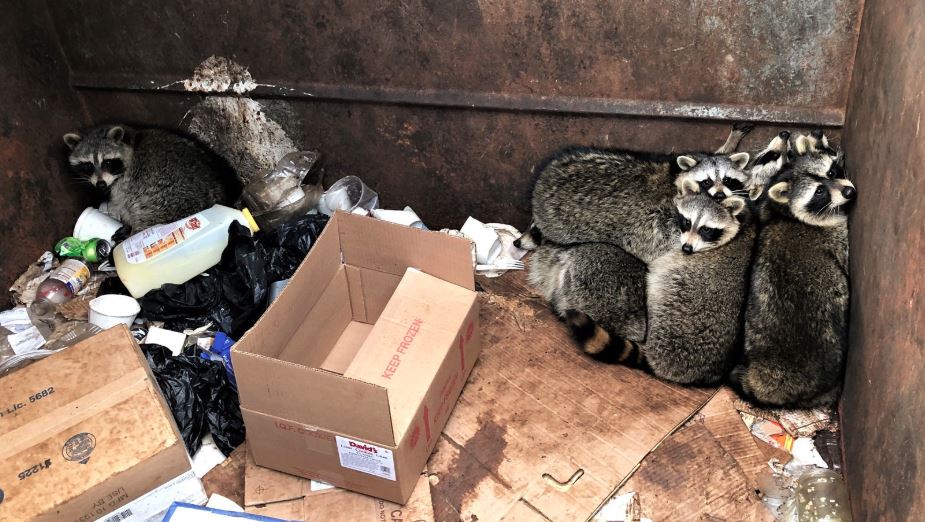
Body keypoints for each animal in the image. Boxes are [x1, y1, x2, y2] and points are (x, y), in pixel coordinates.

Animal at [64, 125, 240, 232]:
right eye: (88, 165)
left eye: (107, 162)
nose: (100, 184)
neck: (132, 143)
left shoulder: (126, 185)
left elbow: (124, 204)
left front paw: (126, 222)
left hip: (165, 200)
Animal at [733, 134, 854, 407]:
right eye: (819, 191)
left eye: (832, 172)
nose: (849, 191)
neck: (786, 214)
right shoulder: (834, 232)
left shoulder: (765, 209)